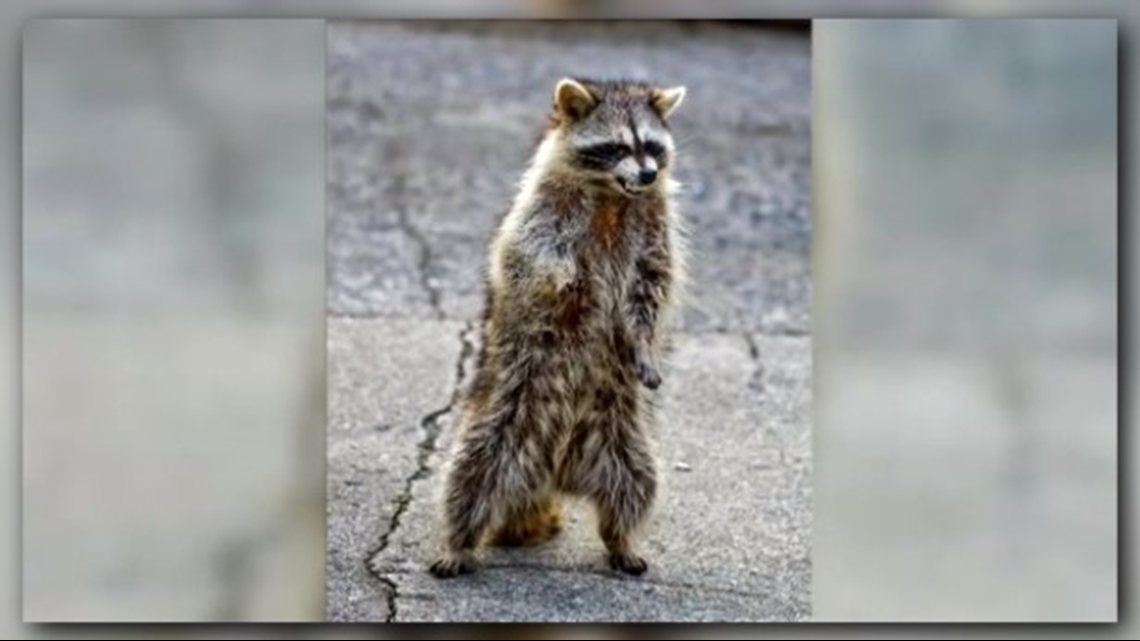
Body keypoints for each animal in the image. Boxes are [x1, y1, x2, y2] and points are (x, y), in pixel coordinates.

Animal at [428, 77, 688, 578]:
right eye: (615, 146)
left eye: (651, 146)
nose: (649, 175)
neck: (613, 195)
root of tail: (553, 475)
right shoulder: (541, 208)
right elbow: (527, 255)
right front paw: (562, 280)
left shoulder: (654, 227)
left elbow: (652, 285)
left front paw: (642, 342)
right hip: (504, 421)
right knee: (469, 480)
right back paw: (458, 542)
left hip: (622, 437)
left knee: (637, 485)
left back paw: (621, 539)